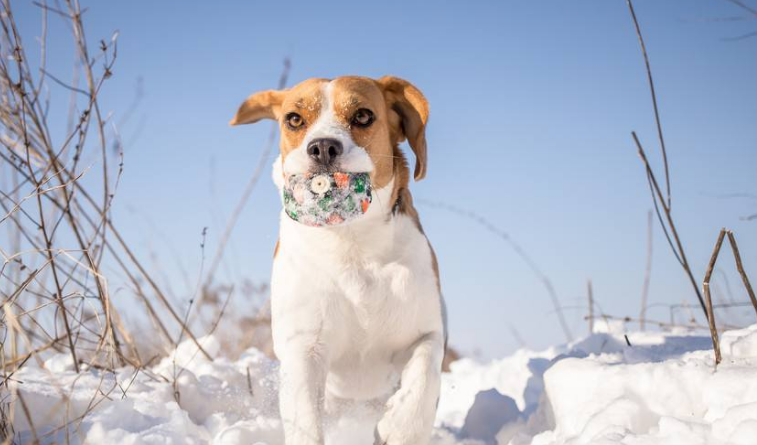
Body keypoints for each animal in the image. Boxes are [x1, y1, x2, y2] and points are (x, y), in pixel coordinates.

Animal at [229, 76, 442, 444]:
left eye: (363, 115)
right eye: (294, 119)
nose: (323, 147)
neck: (351, 244)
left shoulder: (425, 329)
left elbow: (424, 374)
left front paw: (399, 428)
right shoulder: (304, 348)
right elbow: (305, 420)